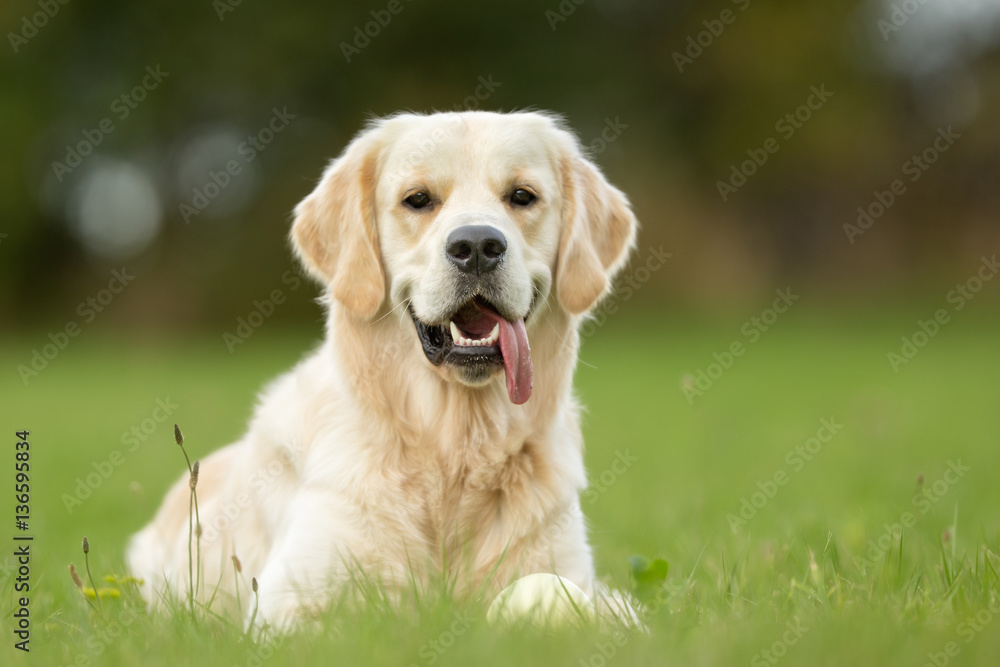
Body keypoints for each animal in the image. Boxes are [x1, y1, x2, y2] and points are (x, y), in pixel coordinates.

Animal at [129, 108, 636, 628]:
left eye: (521, 196)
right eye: (418, 199)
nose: (477, 245)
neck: (453, 448)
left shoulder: (576, 576)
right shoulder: (286, 600)